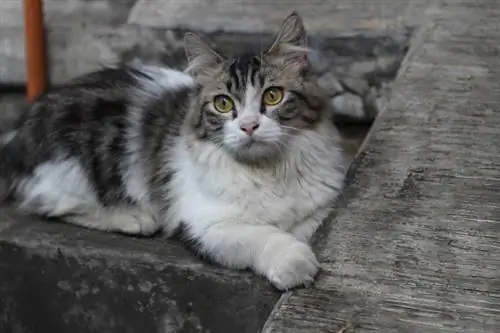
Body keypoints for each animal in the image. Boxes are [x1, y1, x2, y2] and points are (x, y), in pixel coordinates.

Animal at [0, 11, 348, 290]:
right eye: (223, 104)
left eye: (273, 96)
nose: (249, 126)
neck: (268, 171)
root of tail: (20, 131)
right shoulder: (207, 223)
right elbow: (263, 235)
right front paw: (294, 262)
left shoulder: (320, 207)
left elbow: (305, 226)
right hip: (72, 170)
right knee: (47, 204)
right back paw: (133, 217)